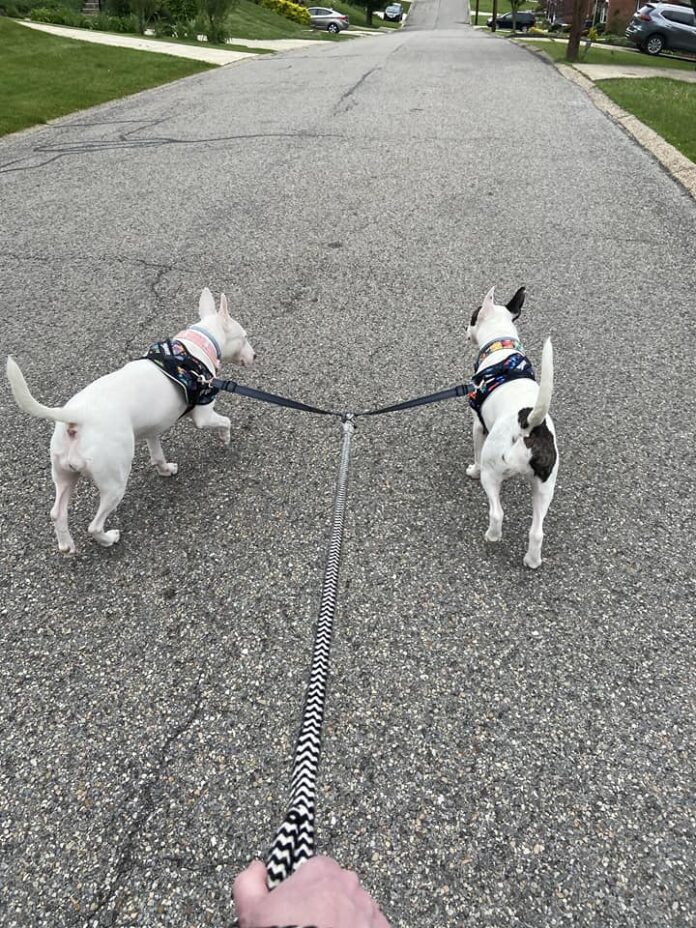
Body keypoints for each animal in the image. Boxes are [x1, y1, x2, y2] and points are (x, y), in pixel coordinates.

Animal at [5, 286, 256, 556]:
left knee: (56, 512)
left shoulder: (153, 428)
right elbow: (225, 421)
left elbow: (157, 455)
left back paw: (66, 544)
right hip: (114, 481)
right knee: (94, 525)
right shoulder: (203, 415)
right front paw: (225, 438)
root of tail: (76, 417)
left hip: (64, 473)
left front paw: (165, 469)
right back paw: (108, 538)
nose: (255, 355)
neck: (196, 347)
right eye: (244, 336)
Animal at [468, 286, 560, 568]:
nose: (465, 327)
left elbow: (476, 453)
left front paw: (471, 469)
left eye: (473, 316)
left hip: (492, 474)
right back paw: (532, 560)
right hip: (545, 486)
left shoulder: (478, 425)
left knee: (497, 513)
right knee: (537, 531)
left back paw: (492, 536)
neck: (501, 346)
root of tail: (529, 424)